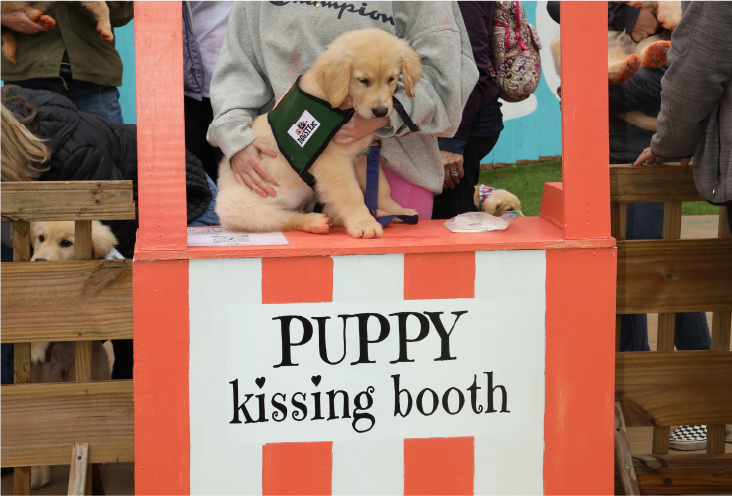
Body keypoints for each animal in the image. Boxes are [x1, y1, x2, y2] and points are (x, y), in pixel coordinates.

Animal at [214, 28, 420, 239]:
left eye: (392, 79)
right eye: (363, 80)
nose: (381, 112)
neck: (341, 106)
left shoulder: (362, 156)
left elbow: (381, 188)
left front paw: (398, 211)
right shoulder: (332, 162)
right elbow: (350, 194)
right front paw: (364, 223)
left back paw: (382, 214)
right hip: (239, 205)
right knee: (284, 217)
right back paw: (315, 222)